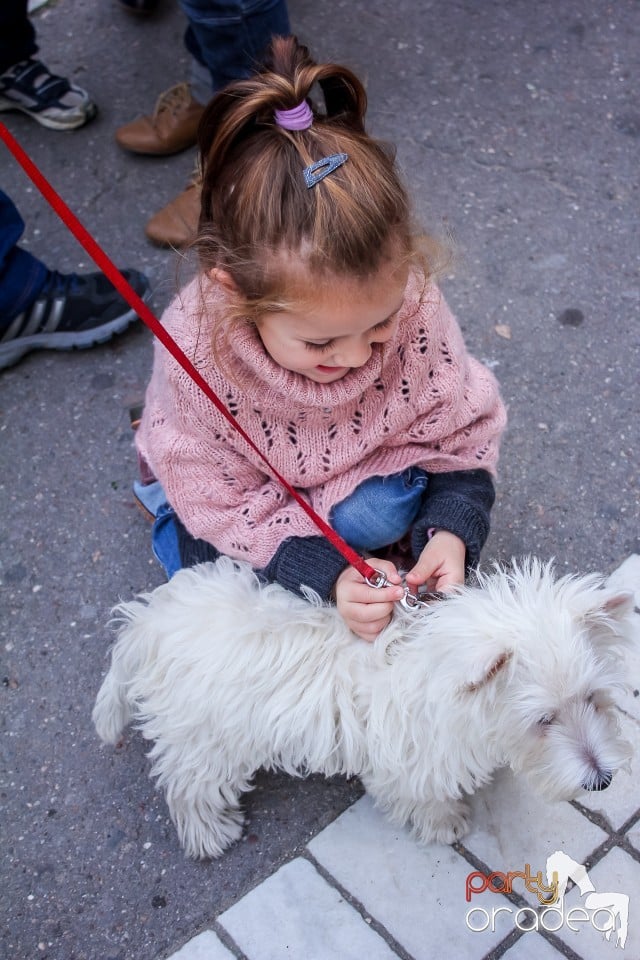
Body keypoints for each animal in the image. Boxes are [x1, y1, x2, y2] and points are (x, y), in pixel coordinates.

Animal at [92, 560, 632, 860]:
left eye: (592, 698)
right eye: (543, 720)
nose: (601, 780)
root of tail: (146, 623)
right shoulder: (410, 764)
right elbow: (423, 797)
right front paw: (444, 823)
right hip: (203, 742)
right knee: (189, 788)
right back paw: (210, 834)